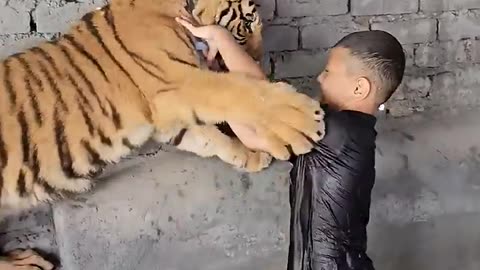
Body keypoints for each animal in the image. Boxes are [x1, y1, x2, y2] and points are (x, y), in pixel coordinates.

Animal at [0, 0, 326, 268]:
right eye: (247, 23)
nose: (258, 57)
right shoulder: (178, 83)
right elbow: (239, 92)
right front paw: (303, 121)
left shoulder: (169, 117)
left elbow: (212, 139)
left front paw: (253, 156)